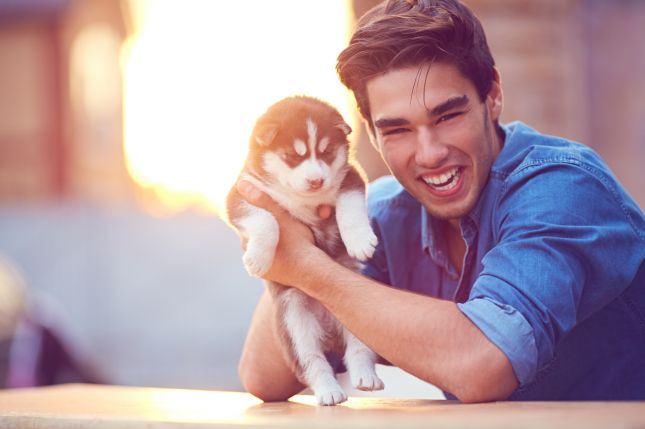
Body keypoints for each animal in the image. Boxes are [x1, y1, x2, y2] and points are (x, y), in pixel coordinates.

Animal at [226, 95, 382, 402]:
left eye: (327, 152)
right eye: (292, 155)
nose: (316, 180)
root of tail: (330, 330)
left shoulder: (351, 177)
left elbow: (350, 205)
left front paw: (359, 240)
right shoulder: (242, 192)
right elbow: (266, 220)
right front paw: (258, 258)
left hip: (360, 316)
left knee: (358, 351)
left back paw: (366, 377)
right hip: (294, 323)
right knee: (312, 361)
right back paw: (329, 391)